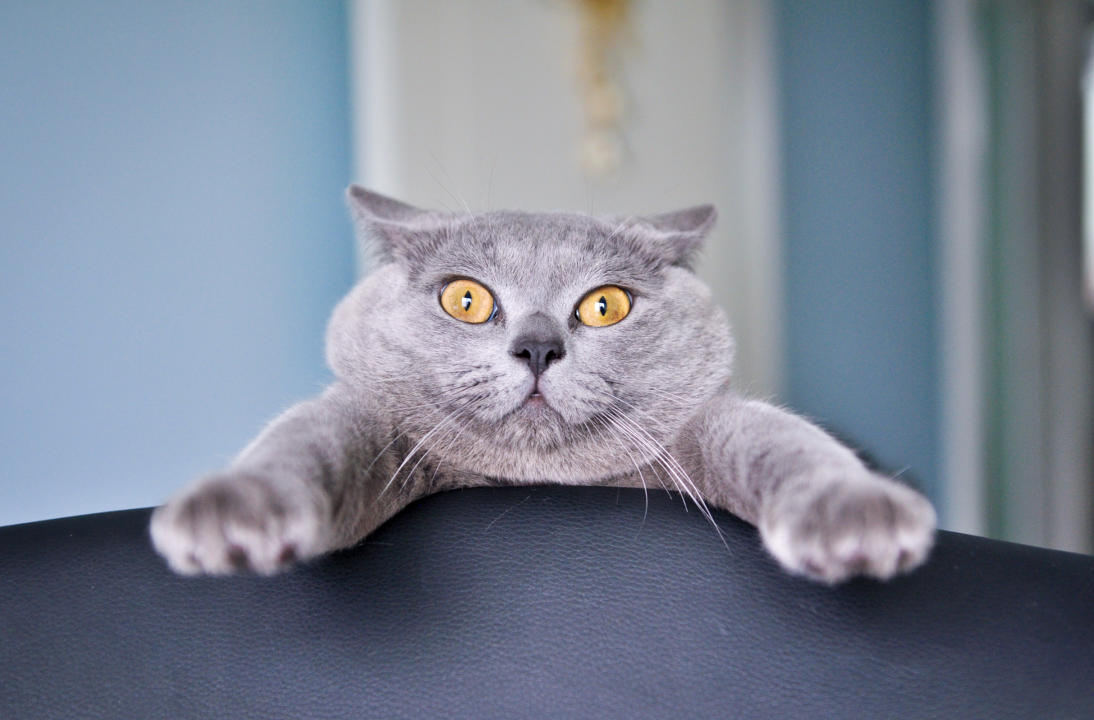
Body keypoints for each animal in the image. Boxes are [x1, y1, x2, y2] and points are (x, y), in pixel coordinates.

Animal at [149, 186, 936, 582]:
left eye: (605, 304)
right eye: (466, 298)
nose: (537, 346)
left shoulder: (703, 424)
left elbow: (781, 441)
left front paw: (853, 513)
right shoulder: (375, 423)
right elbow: (307, 441)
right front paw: (233, 512)